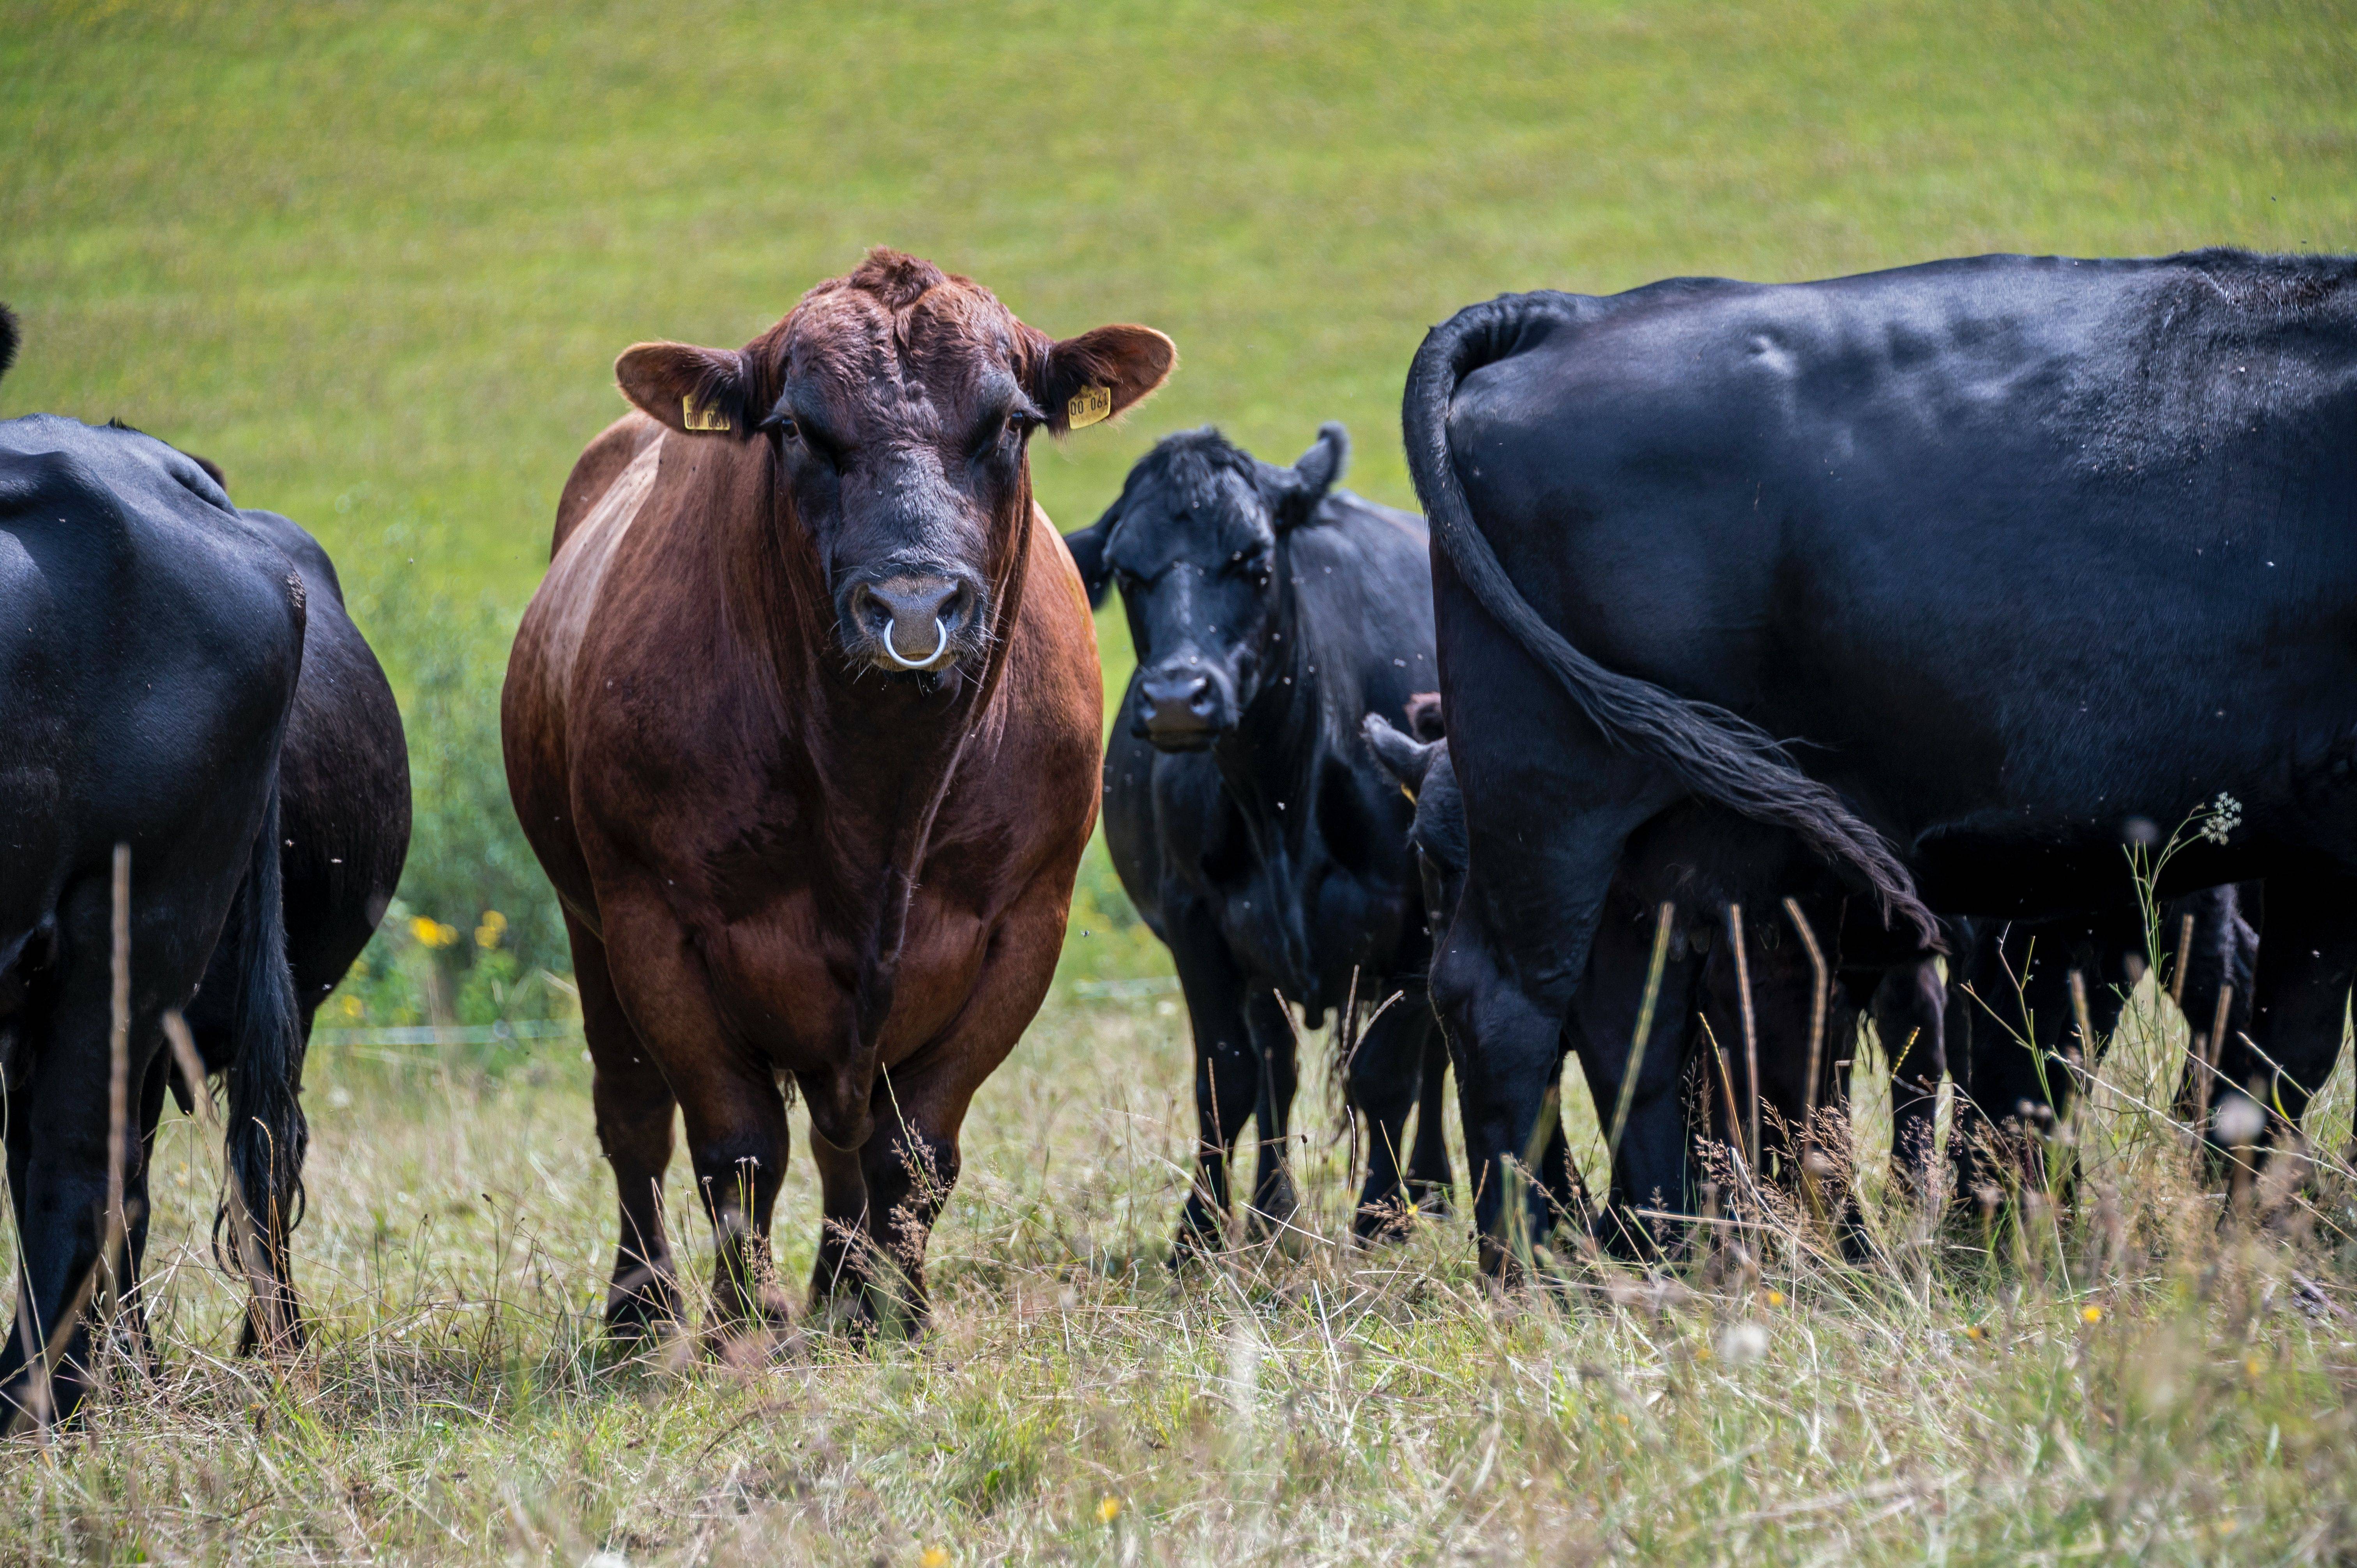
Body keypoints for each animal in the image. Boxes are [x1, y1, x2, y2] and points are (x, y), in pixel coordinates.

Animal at [504, 251, 1169, 1330]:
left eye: (1011, 423)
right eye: (794, 430)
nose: (913, 603)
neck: (880, 789)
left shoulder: (1025, 923)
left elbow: (915, 1149)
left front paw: (902, 1311)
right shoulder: (655, 924)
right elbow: (735, 1149)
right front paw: (743, 1320)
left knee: (840, 1136)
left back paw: (844, 1289)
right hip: (587, 921)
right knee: (634, 1117)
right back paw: (644, 1307)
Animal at [1065, 424, 1452, 1245]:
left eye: (1256, 561)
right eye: (1127, 572)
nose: (1177, 697)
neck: (1278, 792)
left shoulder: (1418, 917)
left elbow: (1387, 1074)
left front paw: (1379, 1218)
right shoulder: (1196, 920)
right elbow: (1228, 1073)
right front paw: (1199, 1232)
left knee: (1434, 1057)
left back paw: (1429, 1190)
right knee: (1278, 1063)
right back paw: (1275, 1212)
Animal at [1405, 253, 2347, 1264]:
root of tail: (1568, 313)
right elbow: (2279, 1044)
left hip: (1665, 838)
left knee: (1635, 1016)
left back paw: (1663, 1248)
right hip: (1554, 797)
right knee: (1507, 1002)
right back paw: (1542, 1265)